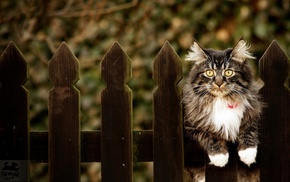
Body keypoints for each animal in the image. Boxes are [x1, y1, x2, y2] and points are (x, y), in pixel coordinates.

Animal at [184, 39, 262, 175]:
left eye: (228, 72)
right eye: (209, 72)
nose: (219, 83)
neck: (222, 101)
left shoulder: (254, 111)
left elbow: (249, 128)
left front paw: (248, 153)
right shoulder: (190, 124)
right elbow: (209, 134)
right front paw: (219, 157)